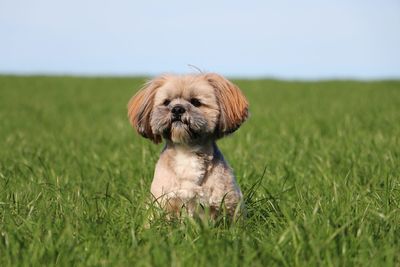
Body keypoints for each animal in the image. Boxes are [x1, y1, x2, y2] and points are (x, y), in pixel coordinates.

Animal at [128, 74, 248, 220]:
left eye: (196, 102)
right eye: (167, 102)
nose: (177, 109)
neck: (186, 151)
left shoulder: (228, 204)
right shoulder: (163, 203)